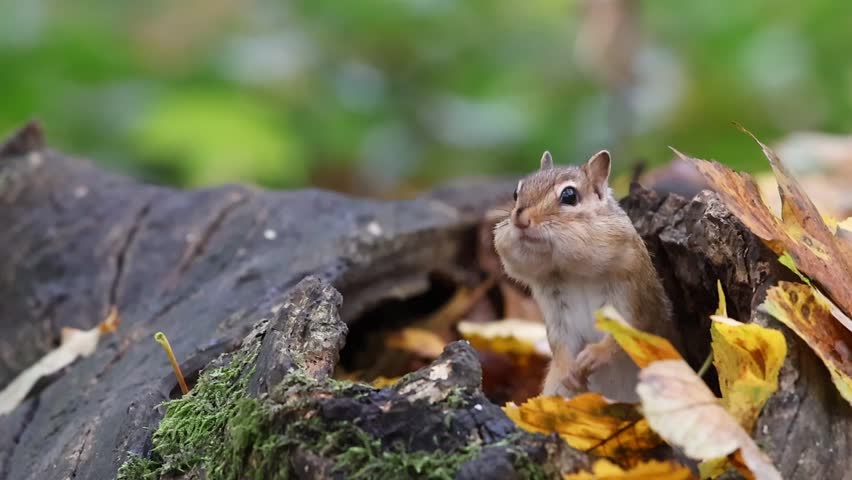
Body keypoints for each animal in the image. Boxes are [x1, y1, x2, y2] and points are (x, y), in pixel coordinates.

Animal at [493, 150, 679, 402]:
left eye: (569, 195)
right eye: (515, 192)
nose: (520, 219)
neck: (573, 271)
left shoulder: (636, 299)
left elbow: (629, 332)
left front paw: (595, 354)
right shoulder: (556, 311)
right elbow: (560, 344)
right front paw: (568, 369)